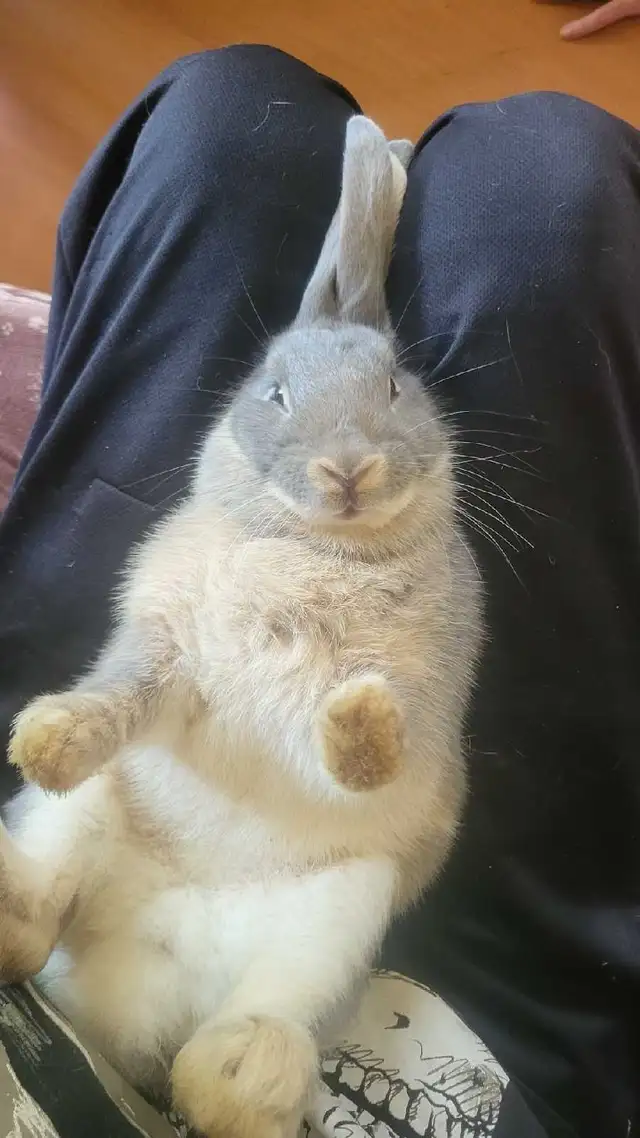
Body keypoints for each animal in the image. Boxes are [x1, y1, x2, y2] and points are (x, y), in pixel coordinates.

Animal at [0, 116, 483, 1138]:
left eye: (395, 386)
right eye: (274, 391)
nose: (347, 469)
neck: (317, 546)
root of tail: (142, 983)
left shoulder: (421, 683)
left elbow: (374, 734)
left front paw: (360, 725)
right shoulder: (169, 650)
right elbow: (122, 697)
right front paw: (48, 738)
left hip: (341, 914)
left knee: (262, 1021)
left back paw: (238, 1077)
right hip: (89, 817)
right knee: (38, 913)